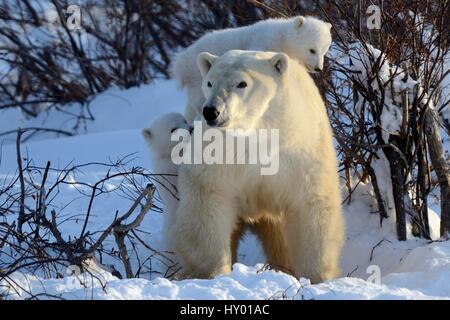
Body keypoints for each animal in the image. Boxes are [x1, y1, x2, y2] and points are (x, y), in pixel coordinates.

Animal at [172, 49, 344, 282]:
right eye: (209, 82)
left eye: (241, 83)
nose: (211, 111)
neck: (258, 132)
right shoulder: (219, 154)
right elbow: (207, 202)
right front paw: (214, 273)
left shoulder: (298, 152)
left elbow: (310, 204)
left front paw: (317, 277)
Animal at [173, 15, 334, 124]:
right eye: (312, 50)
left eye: (324, 50)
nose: (318, 68)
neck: (281, 38)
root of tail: (180, 62)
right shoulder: (263, 45)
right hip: (196, 76)